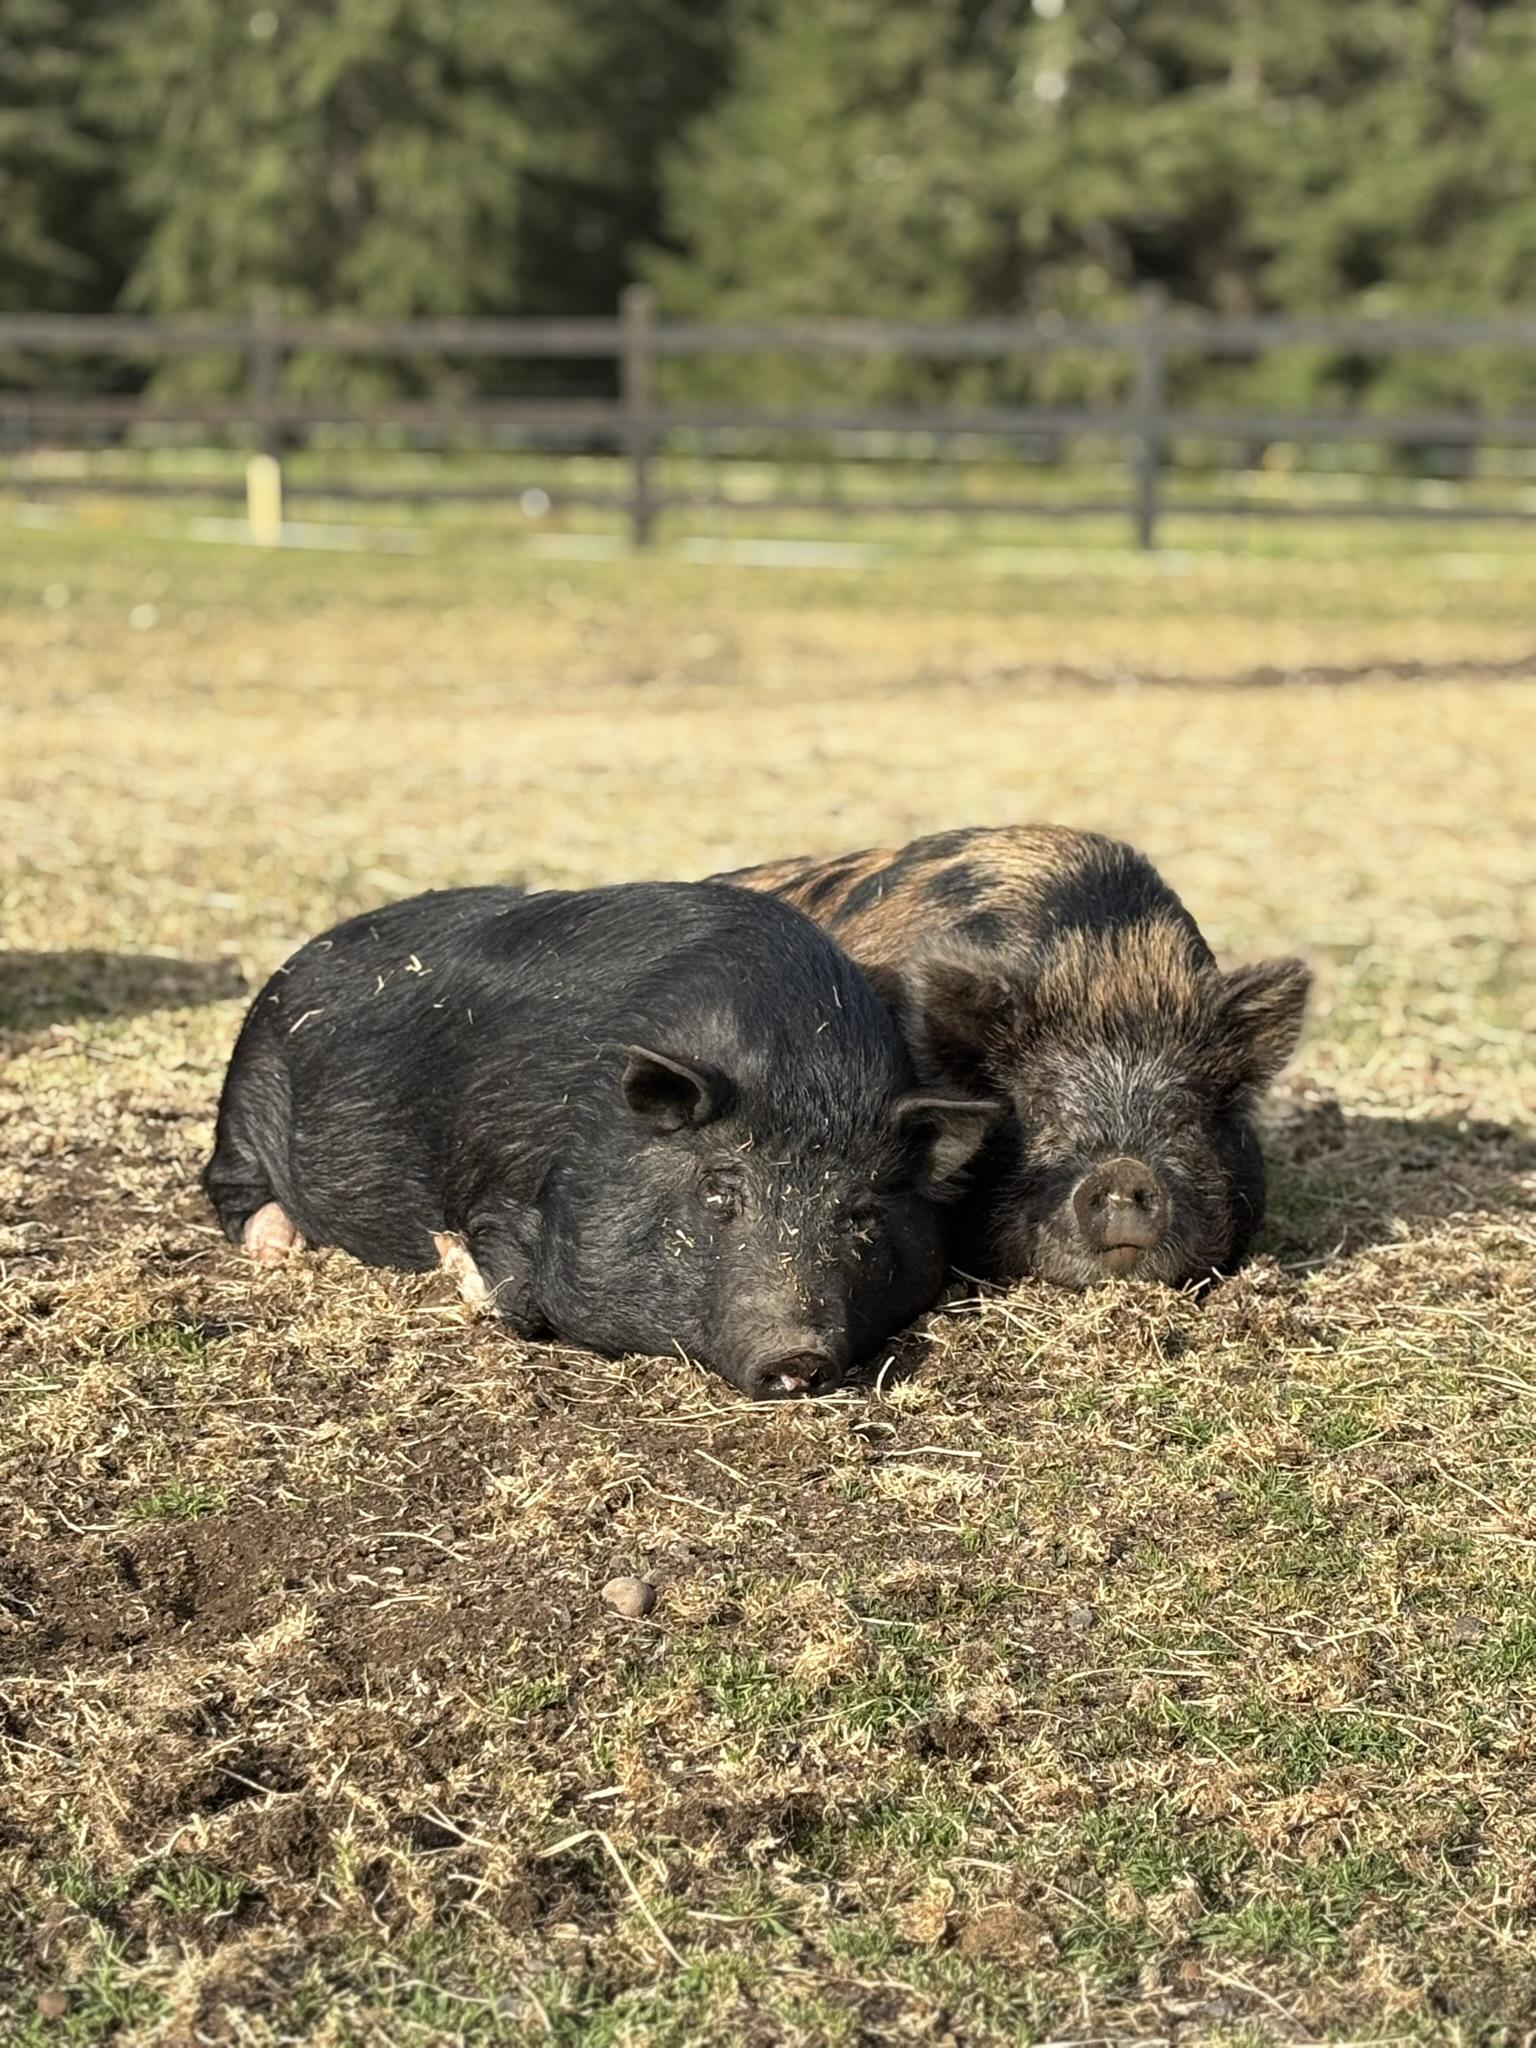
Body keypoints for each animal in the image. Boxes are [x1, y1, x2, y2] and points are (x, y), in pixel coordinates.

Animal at [203, 883, 996, 1399]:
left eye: (861, 1216)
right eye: (719, 1189)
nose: (797, 1355)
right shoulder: (500, 1179)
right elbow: (517, 1293)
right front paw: (449, 1253)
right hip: (246, 1086)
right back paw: (277, 1248)